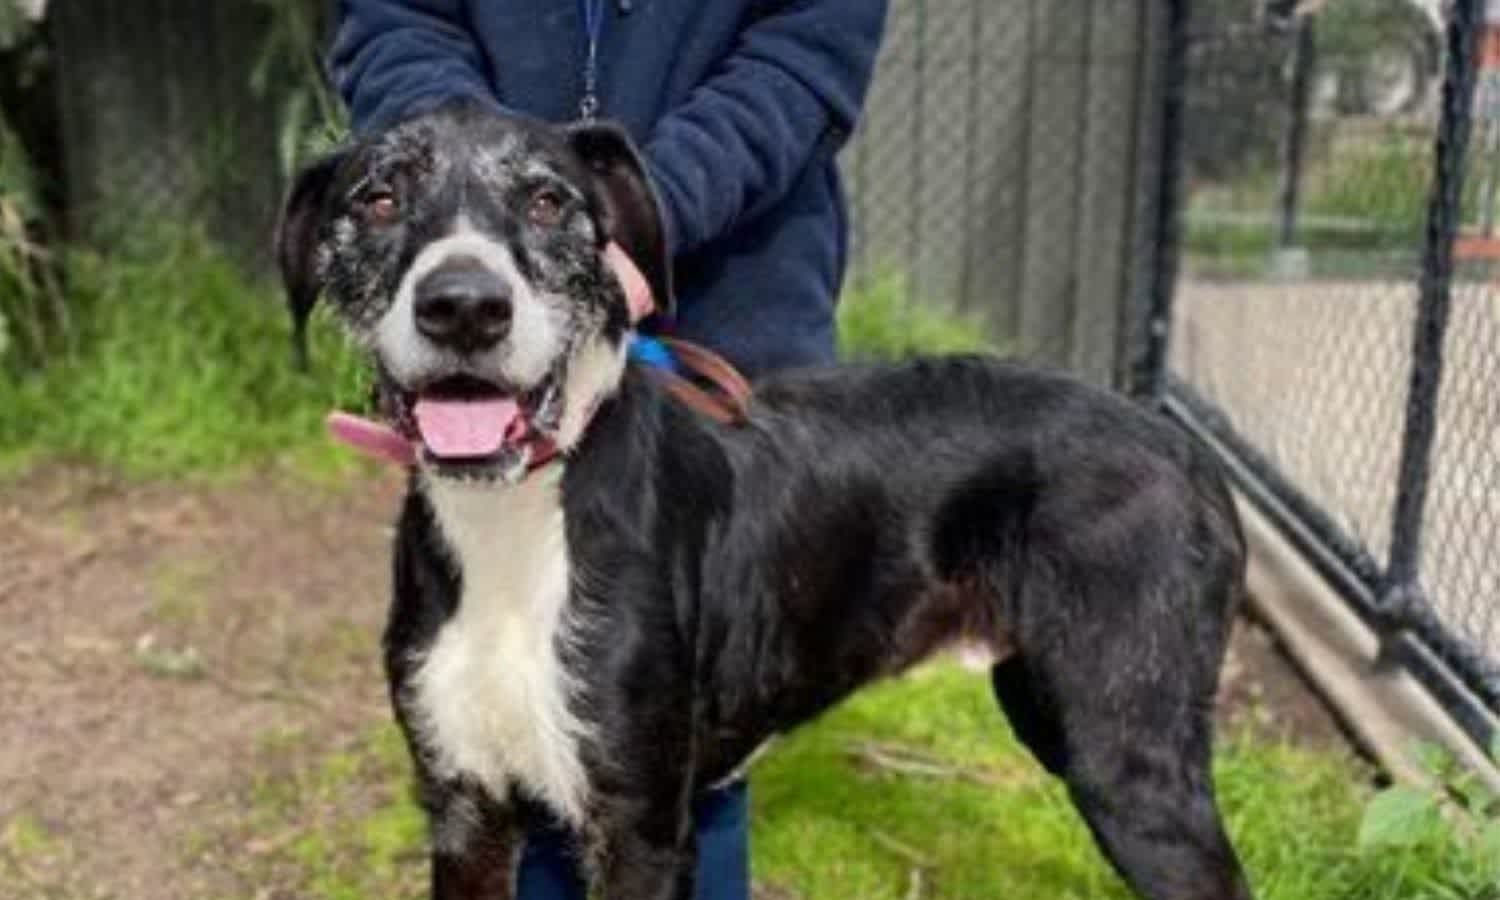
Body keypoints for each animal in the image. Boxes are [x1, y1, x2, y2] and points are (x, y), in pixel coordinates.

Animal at [276, 101, 1254, 900]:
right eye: (379, 199)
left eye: (549, 201)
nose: (465, 307)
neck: (515, 522)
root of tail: (1183, 445)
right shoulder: (464, 806)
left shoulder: (639, 823)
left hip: (1125, 752)